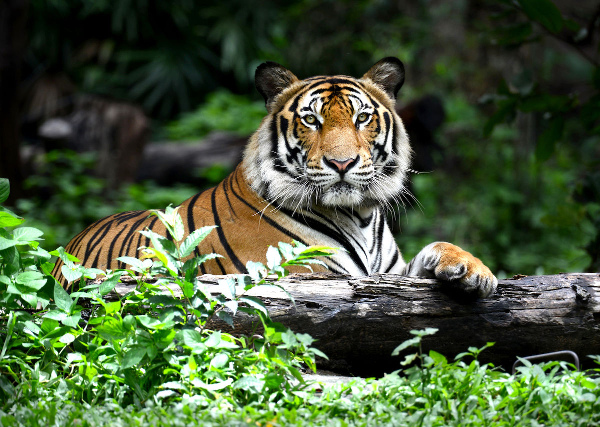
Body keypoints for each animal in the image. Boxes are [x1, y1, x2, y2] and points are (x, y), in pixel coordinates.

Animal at [54, 56, 496, 298]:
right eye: (311, 120)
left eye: (362, 118)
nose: (342, 163)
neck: (359, 215)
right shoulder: (307, 276)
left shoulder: (391, 275)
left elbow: (436, 248)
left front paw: (473, 271)